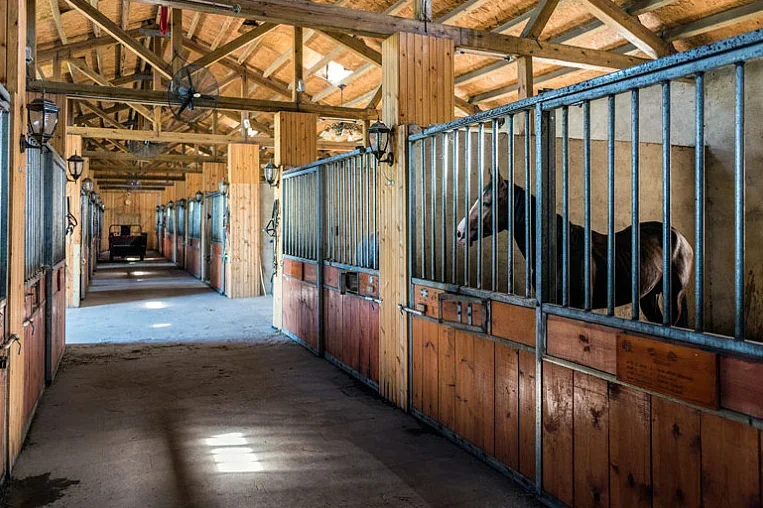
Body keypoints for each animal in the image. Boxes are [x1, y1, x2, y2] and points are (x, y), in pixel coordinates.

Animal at [456, 175, 696, 326]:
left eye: (487, 203)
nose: (460, 232)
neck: (560, 250)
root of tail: (677, 235)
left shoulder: (577, 306)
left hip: (673, 296)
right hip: (646, 297)